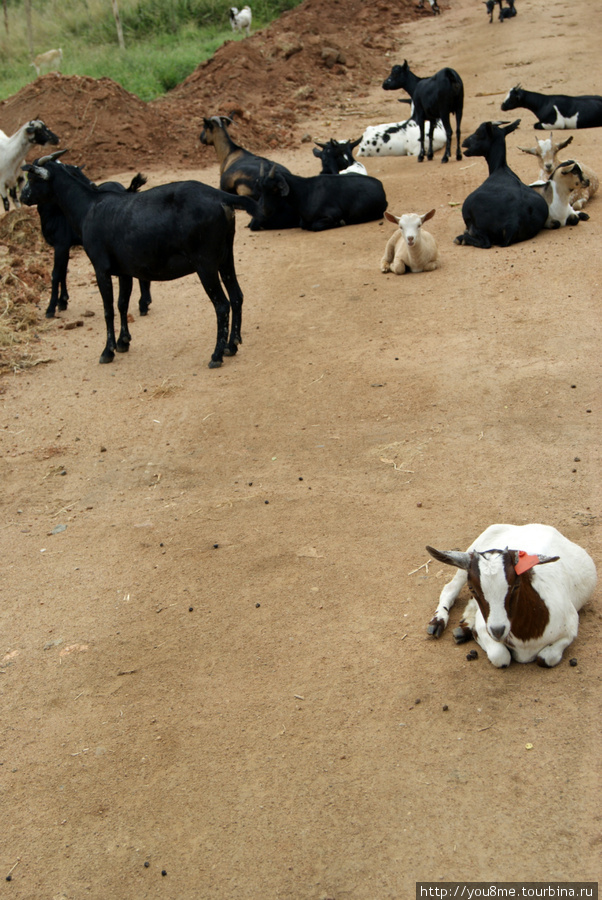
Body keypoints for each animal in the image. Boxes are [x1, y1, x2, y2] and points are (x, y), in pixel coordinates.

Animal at [23, 163, 154, 322]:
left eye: (31, 178)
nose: (22, 196)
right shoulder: (65, 247)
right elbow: (63, 272)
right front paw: (63, 301)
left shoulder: (61, 245)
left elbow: (56, 274)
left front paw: (51, 308)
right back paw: (145, 303)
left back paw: (143, 304)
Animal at [252, 164, 384, 232]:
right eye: (261, 188)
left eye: (274, 188)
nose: (264, 210)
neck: (306, 193)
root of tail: (380, 185)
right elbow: (303, 225)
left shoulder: (331, 215)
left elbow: (315, 226)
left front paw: (340, 222)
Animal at [424, 520, 592, 668]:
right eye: (472, 588)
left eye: (516, 585)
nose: (498, 630)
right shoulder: (485, 628)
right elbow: (500, 656)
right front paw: (472, 631)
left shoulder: (570, 630)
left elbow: (546, 658)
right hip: (468, 556)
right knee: (450, 588)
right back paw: (438, 623)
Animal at [452, 118, 548, 250]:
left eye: (478, 133)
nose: (464, 142)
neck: (501, 167)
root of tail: (513, 222)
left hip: (479, 228)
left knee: (485, 243)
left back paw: (461, 239)